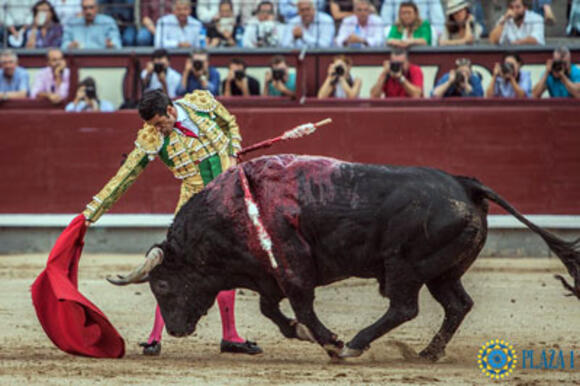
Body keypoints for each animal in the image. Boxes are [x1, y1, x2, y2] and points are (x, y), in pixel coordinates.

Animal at [110, 155, 580, 360]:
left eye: (162, 283)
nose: (176, 329)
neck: (236, 210)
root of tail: (466, 185)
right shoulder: (268, 275)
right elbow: (270, 310)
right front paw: (300, 333)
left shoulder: (294, 269)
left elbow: (300, 306)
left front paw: (329, 340)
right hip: (443, 270)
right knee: (457, 305)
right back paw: (427, 353)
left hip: (404, 265)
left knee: (404, 307)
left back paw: (354, 345)